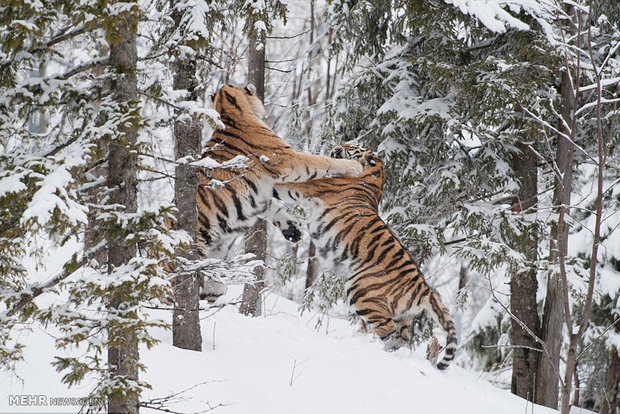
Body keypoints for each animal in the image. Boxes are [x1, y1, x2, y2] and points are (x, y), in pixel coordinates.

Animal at [274, 144, 458, 370]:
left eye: (351, 148)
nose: (337, 146)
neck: (375, 174)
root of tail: (425, 288)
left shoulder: (309, 187)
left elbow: (279, 184)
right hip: (402, 315)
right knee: (404, 336)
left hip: (360, 292)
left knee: (388, 331)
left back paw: (368, 346)